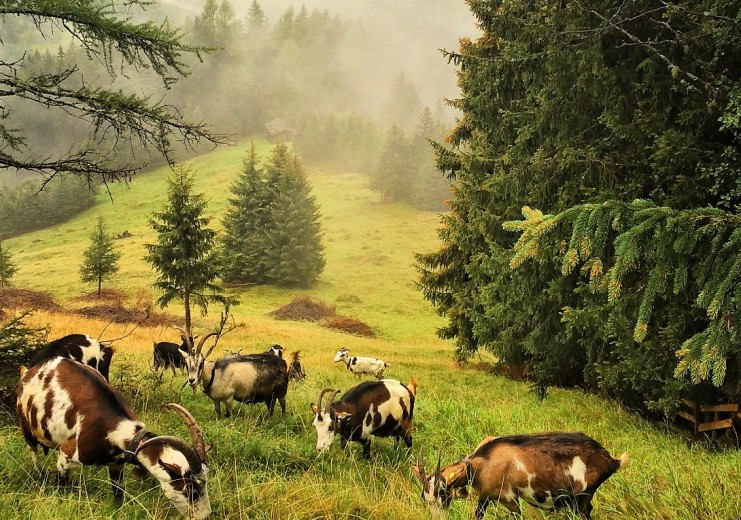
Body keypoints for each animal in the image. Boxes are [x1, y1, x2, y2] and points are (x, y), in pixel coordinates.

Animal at [15, 360, 211, 516]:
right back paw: (40, 477)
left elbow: (118, 496)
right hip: (27, 428)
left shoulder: (116, 465)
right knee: (33, 452)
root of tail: (29, 371)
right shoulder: (65, 455)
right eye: (192, 490)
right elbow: (62, 485)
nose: (206, 516)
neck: (116, 429)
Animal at [414, 432, 628, 516]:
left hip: (583, 497)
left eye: (443, 494)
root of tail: (610, 460)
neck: (483, 462)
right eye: (425, 499)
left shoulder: (510, 499)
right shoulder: (485, 496)